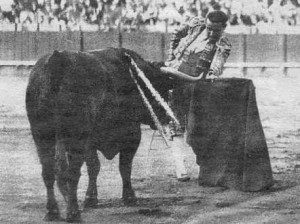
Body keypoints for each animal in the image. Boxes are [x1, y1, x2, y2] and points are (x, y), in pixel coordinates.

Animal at [25, 47, 195, 222]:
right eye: (160, 86)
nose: (166, 118)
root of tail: (56, 61)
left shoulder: (91, 141)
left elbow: (94, 167)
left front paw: (91, 199)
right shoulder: (132, 134)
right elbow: (123, 167)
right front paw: (129, 197)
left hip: (41, 133)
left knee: (48, 171)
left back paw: (52, 211)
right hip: (76, 134)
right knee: (71, 173)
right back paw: (73, 212)